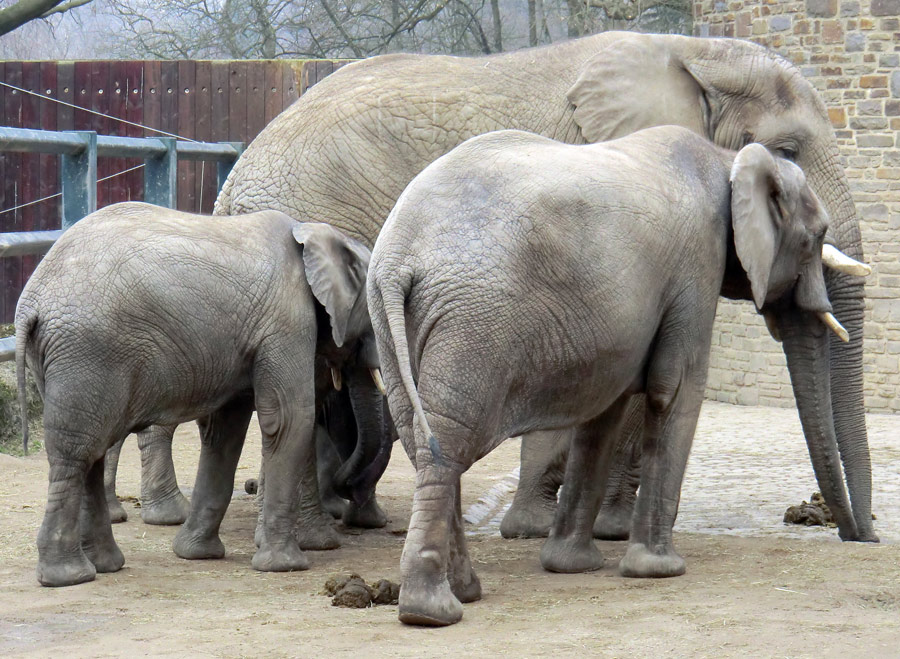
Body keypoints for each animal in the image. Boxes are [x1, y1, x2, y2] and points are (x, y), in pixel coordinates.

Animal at [14, 202, 382, 588]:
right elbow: (288, 419)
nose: (348, 495)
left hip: (62, 360)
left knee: (91, 451)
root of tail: (30, 304)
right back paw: (68, 577)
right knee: (76, 454)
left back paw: (105, 565)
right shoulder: (286, 322)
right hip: (88, 352)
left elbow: (224, 431)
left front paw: (196, 554)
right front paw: (285, 566)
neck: (314, 233)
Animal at [206, 32, 880, 540]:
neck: (693, 53)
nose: (860, 537)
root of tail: (231, 183)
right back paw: (322, 532)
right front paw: (588, 529)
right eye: (786, 152)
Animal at [368, 126, 864, 628]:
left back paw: (465, 593)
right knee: (450, 443)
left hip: (393, 325)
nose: (862, 538)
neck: (728, 157)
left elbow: (604, 409)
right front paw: (659, 570)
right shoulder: (696, 264)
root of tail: (398, 259)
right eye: (817, 237)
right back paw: (433, 612)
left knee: (422, 438)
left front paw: (571, 566)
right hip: (475, 324)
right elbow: (676, 388)